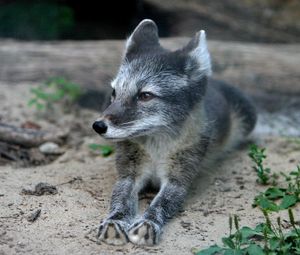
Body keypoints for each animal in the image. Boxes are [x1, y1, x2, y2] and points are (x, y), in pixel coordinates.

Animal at [92, 18, 256, 246]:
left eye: (145, 95)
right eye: (114, 93)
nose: (98, 126)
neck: (157, 149)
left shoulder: (178, 181)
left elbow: (161, 203)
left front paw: (148, 223)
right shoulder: (128, 175)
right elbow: (120, 199)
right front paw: (115, 221)